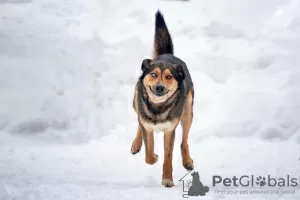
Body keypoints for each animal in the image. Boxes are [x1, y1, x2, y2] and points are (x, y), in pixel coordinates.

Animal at [131, 9, 195, 188]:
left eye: (169, 77)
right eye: (153, 74)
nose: (159, 87)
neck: (158, 107)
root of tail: (167, 54)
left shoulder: (169, 130)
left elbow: (168, 156)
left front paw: (167, 179)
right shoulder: (147, 125)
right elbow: (148, 154)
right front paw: (154, 156)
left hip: (187, 113)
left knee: (184, 141)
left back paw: (187, 161)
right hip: (135, 102)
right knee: (139, 122)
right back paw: (136, 144)